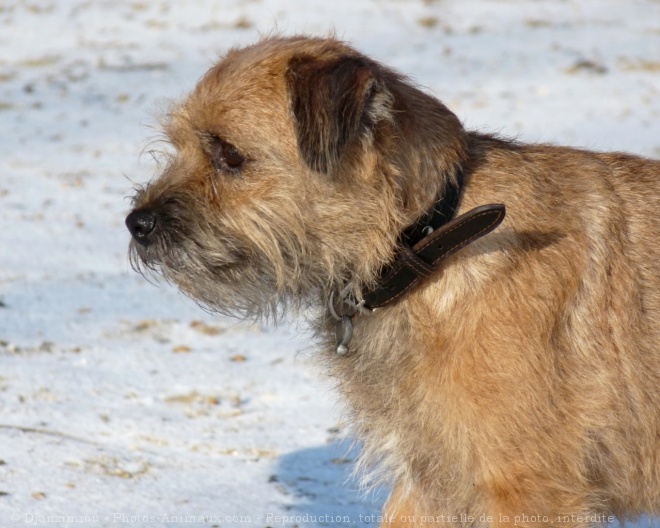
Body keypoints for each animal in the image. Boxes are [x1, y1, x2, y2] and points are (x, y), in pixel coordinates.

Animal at [127, 35, 660, 524]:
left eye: (230, 154)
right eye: (179, 145)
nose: (138, 222)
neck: (427, 240)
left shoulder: (529, 491)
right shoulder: (429, 482)